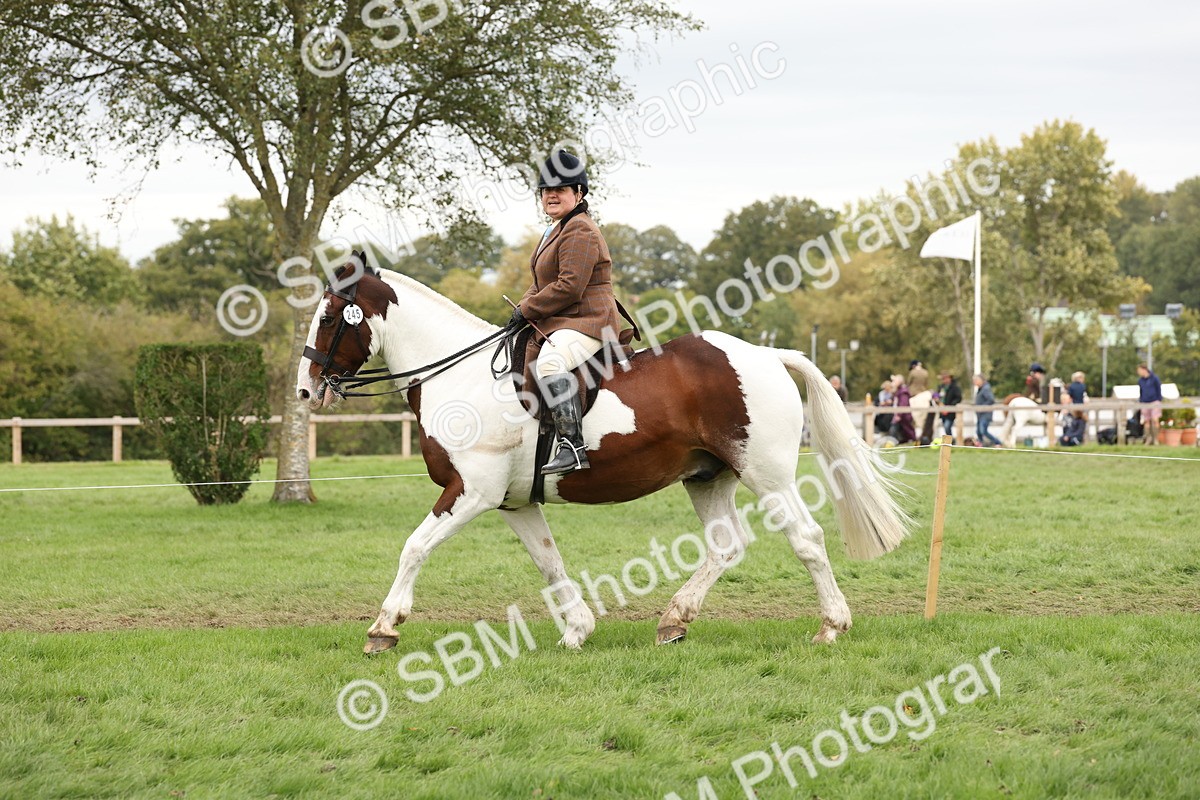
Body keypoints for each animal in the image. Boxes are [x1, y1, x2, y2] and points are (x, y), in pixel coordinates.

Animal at [295, 262, 911, 654]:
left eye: (327, 317)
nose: (306, 390)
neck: (461, 376)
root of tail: (764, 353)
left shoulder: (470, 493)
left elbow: (414, 547)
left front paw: (384, 627)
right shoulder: (514, 503)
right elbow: (549, 563)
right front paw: (578, 630)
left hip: (768, 475)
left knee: (806, 539)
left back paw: (832, 626)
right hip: (707, 478)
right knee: (725, 546)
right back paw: (673, 620)